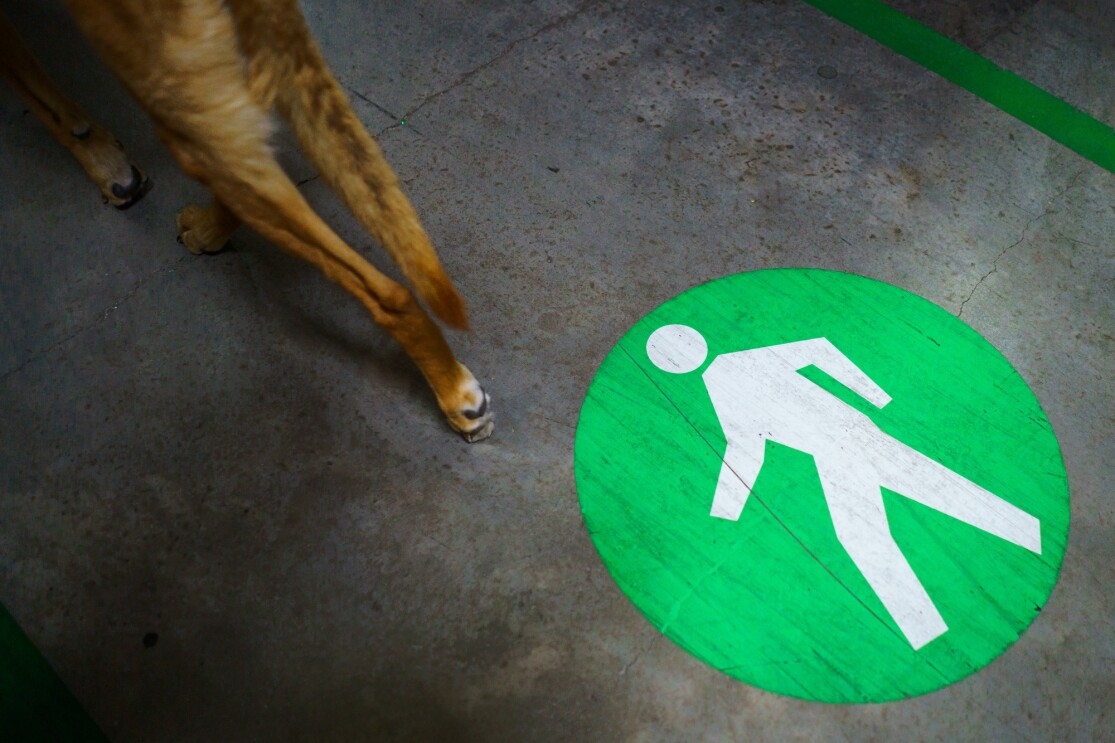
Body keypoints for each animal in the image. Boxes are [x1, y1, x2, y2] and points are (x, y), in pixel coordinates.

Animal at [0, 0, 492, 439]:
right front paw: (102, 156)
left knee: (388, 293)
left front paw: (102, 164)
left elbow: (34, 90)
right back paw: (208, 230)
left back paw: (453, 394)